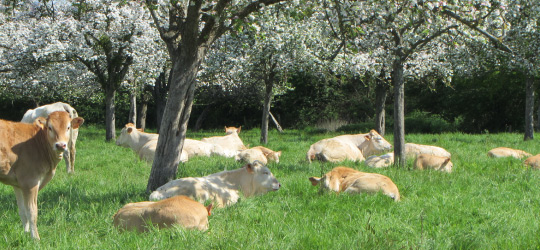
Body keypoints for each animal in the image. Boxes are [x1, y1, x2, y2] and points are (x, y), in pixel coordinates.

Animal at [0, 112, 84, 240]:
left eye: (68, 127)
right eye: (50, 127)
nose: (60, 145)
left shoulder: (18, 184)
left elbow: (23, 211)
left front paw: (25, 234)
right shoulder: (30, 181)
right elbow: (32, 211)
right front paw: (35, 238)